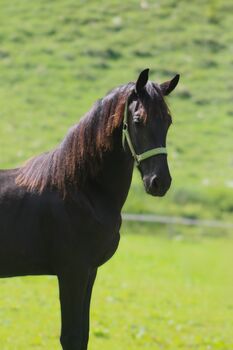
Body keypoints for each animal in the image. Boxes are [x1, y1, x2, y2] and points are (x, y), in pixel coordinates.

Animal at [0, 69, 179, 350]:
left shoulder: (90, 272)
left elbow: (82, 335)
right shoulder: (72, 272)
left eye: (168, 122)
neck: (81, 190)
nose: (159, 182)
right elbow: (71, 336)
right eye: (138, 120)